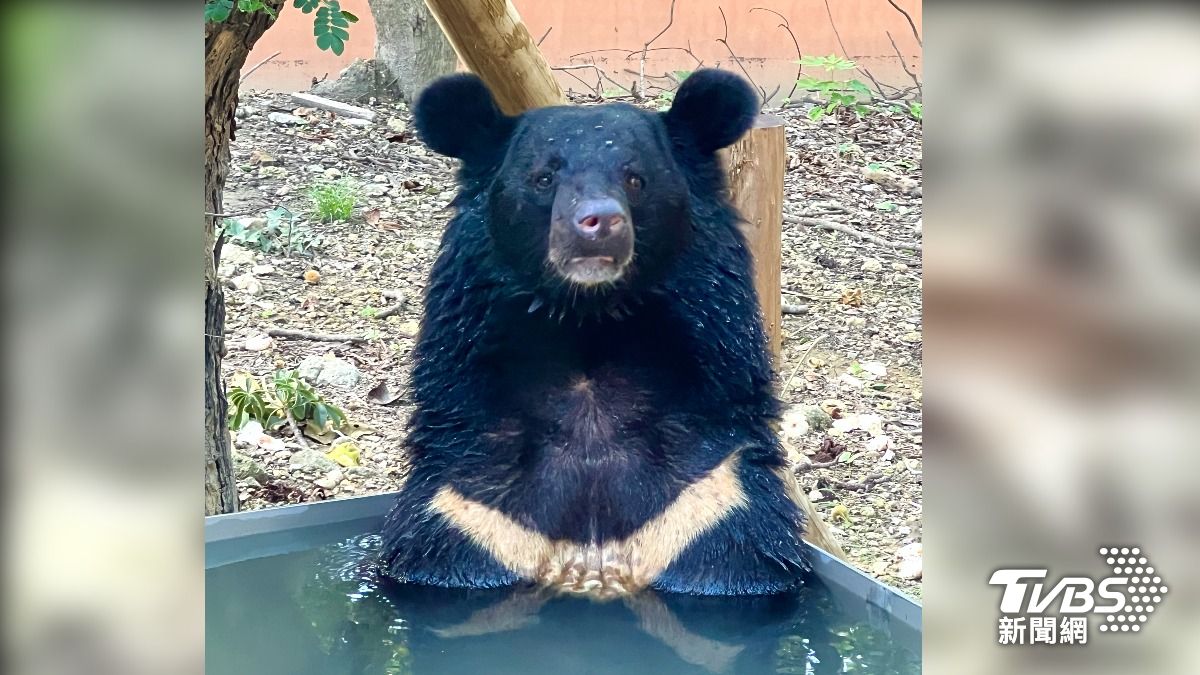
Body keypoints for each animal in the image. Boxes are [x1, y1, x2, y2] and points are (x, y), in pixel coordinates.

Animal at [380, 68, 810, 597]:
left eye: (635, 178)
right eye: (544, 177)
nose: (599, 223)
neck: (590, 324)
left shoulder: (710, 503)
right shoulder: (470, 515)